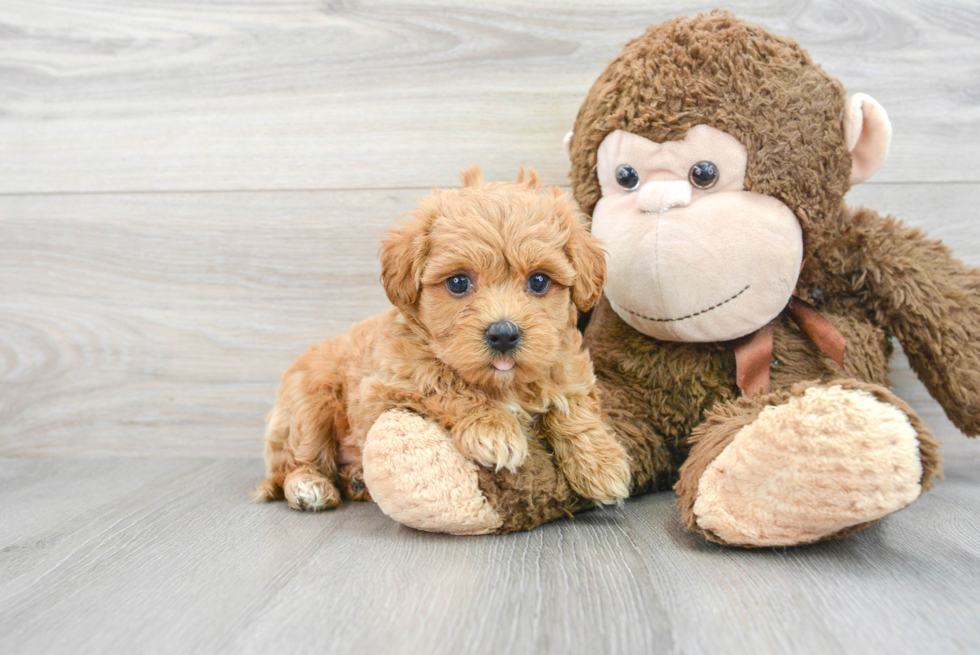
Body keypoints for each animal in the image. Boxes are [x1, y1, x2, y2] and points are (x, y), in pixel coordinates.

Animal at [256, 165, 632, 512]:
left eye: (539, 281)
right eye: (458, 282)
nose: (503, 334)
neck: (504, 385)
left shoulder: (565, 363)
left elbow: (572, 403)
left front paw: (602, 463)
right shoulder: (388, 384)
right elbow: (447, 383)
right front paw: (494, 429)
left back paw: (356, 479)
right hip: (310, 403)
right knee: (294, 462)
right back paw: (310, 485)